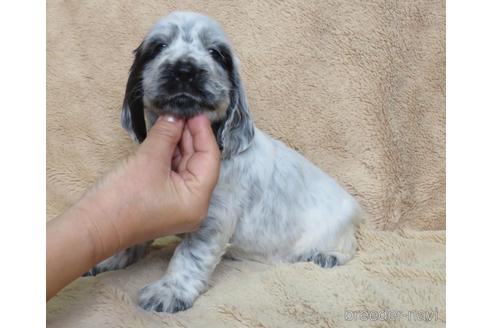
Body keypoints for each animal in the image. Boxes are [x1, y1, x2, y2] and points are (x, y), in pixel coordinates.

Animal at [86, 10, 360, 312]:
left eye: (216, 53)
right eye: (158, 47)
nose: (185, 70)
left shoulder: (213, 218)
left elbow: (188, 256)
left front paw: (170, 291)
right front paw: (109, 259)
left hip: (335, 230)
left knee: (348, 248)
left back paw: (325, 255)